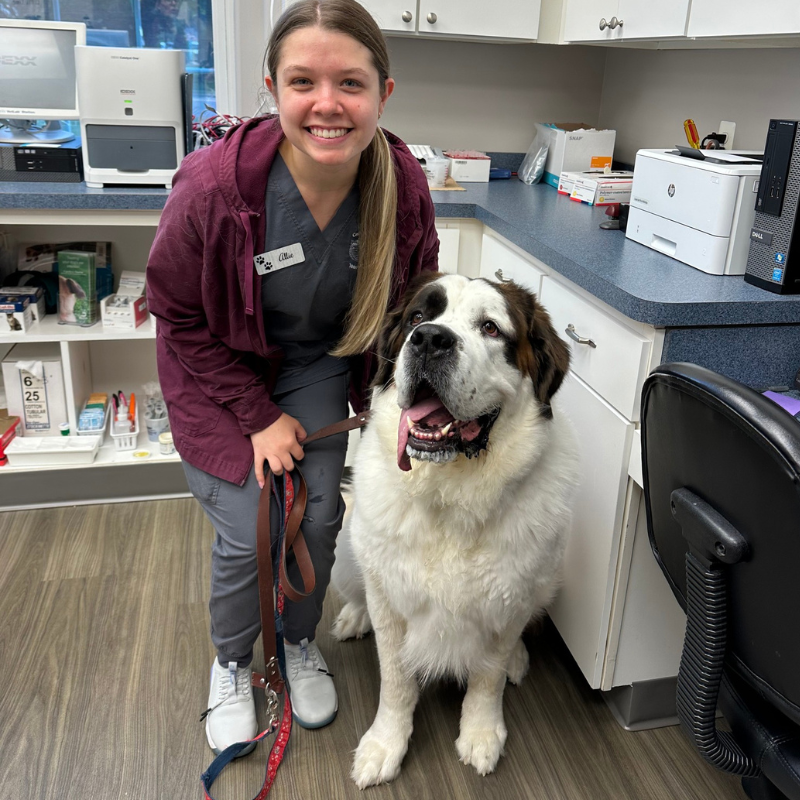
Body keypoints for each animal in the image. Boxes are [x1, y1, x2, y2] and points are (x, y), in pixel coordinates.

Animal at [328, 274, 580, 788]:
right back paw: (354, 617)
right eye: (417, 318)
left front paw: (481, 732)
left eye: (491, 327)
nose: (428, 340)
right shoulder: (391, 602)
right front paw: (385, 744)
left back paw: (519, 660)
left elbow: (488, 675)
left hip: (547, 577)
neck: (451, 496)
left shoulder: (511, 595)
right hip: (347, 553)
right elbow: (395, 677)